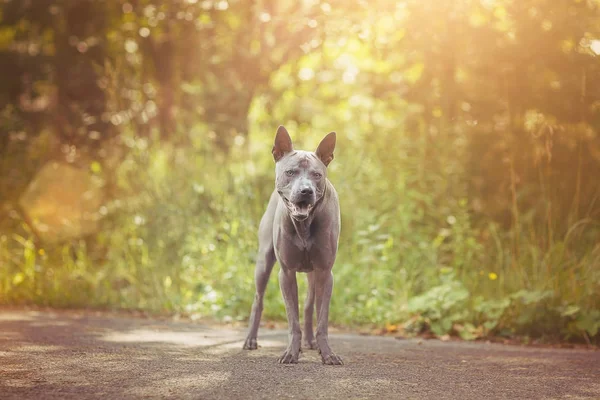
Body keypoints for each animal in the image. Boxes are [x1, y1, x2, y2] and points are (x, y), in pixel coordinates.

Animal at [243, 126, 342, 366]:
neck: (304, 225)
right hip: (264, 261)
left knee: (308, 305)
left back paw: (312, 343)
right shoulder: (286, 273)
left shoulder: (325, 272)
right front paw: (291, 352)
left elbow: (322, 319)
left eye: (317, 175)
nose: (306, 191)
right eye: (290, 172)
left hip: (314, 274)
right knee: (258, 299)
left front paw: (327, 353)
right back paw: (250, 339)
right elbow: (292, 320)